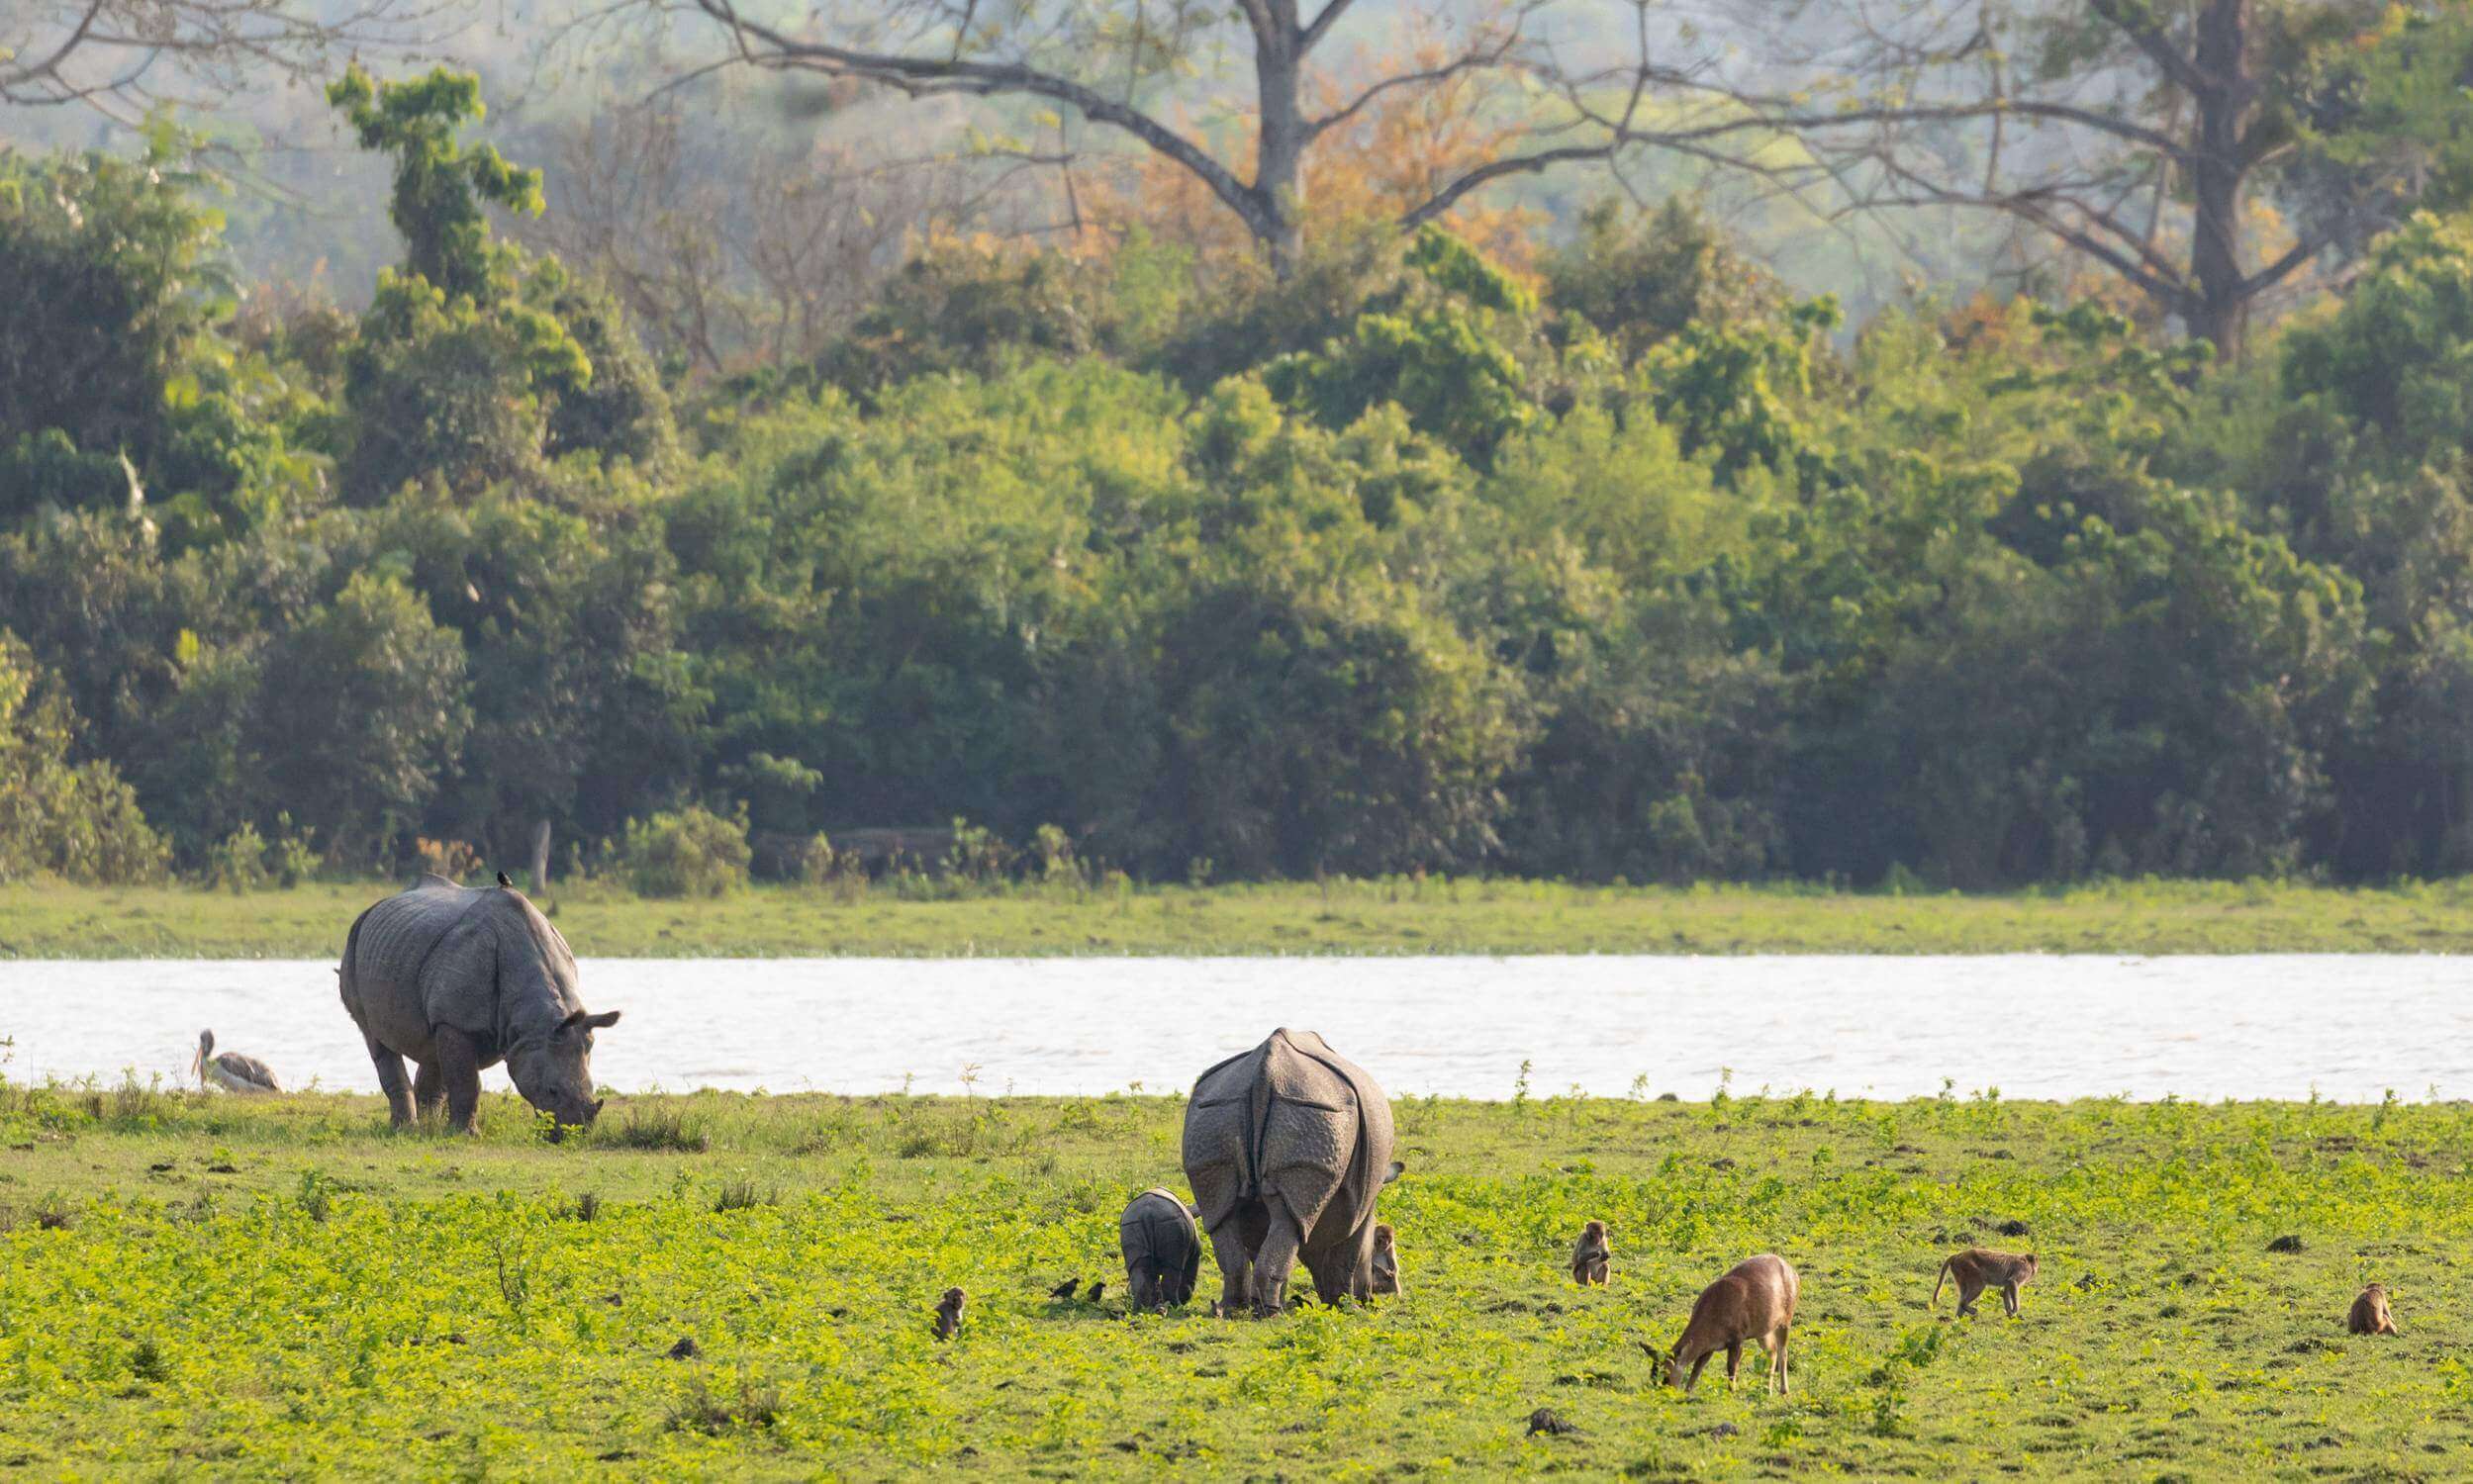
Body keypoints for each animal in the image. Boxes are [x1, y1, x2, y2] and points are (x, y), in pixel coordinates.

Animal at [338, 871, 618, 1138]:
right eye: (551, 1090)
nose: (573, 1133)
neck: (537, 1020)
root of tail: (375, 906)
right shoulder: (456, 1021)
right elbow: (467, 1081)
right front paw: (466, 1135)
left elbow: (455, 1071)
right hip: (353, 945)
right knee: (376, 1037)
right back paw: (407, 1129)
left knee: (432, 1047)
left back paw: (429, 1126)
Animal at [1172, 1024, 1394, 1316]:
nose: (1368, 1297)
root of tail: (1266, 1073)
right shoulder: (1363, 1205)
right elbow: (1347, 1254)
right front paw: (1346, 1306)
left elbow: (1263, 1243)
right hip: (1315, 1114)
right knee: (1286, 1219)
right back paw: (1274, 1313)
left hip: (1215, 1112)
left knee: (1222, 1213)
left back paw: (1234, 1309)